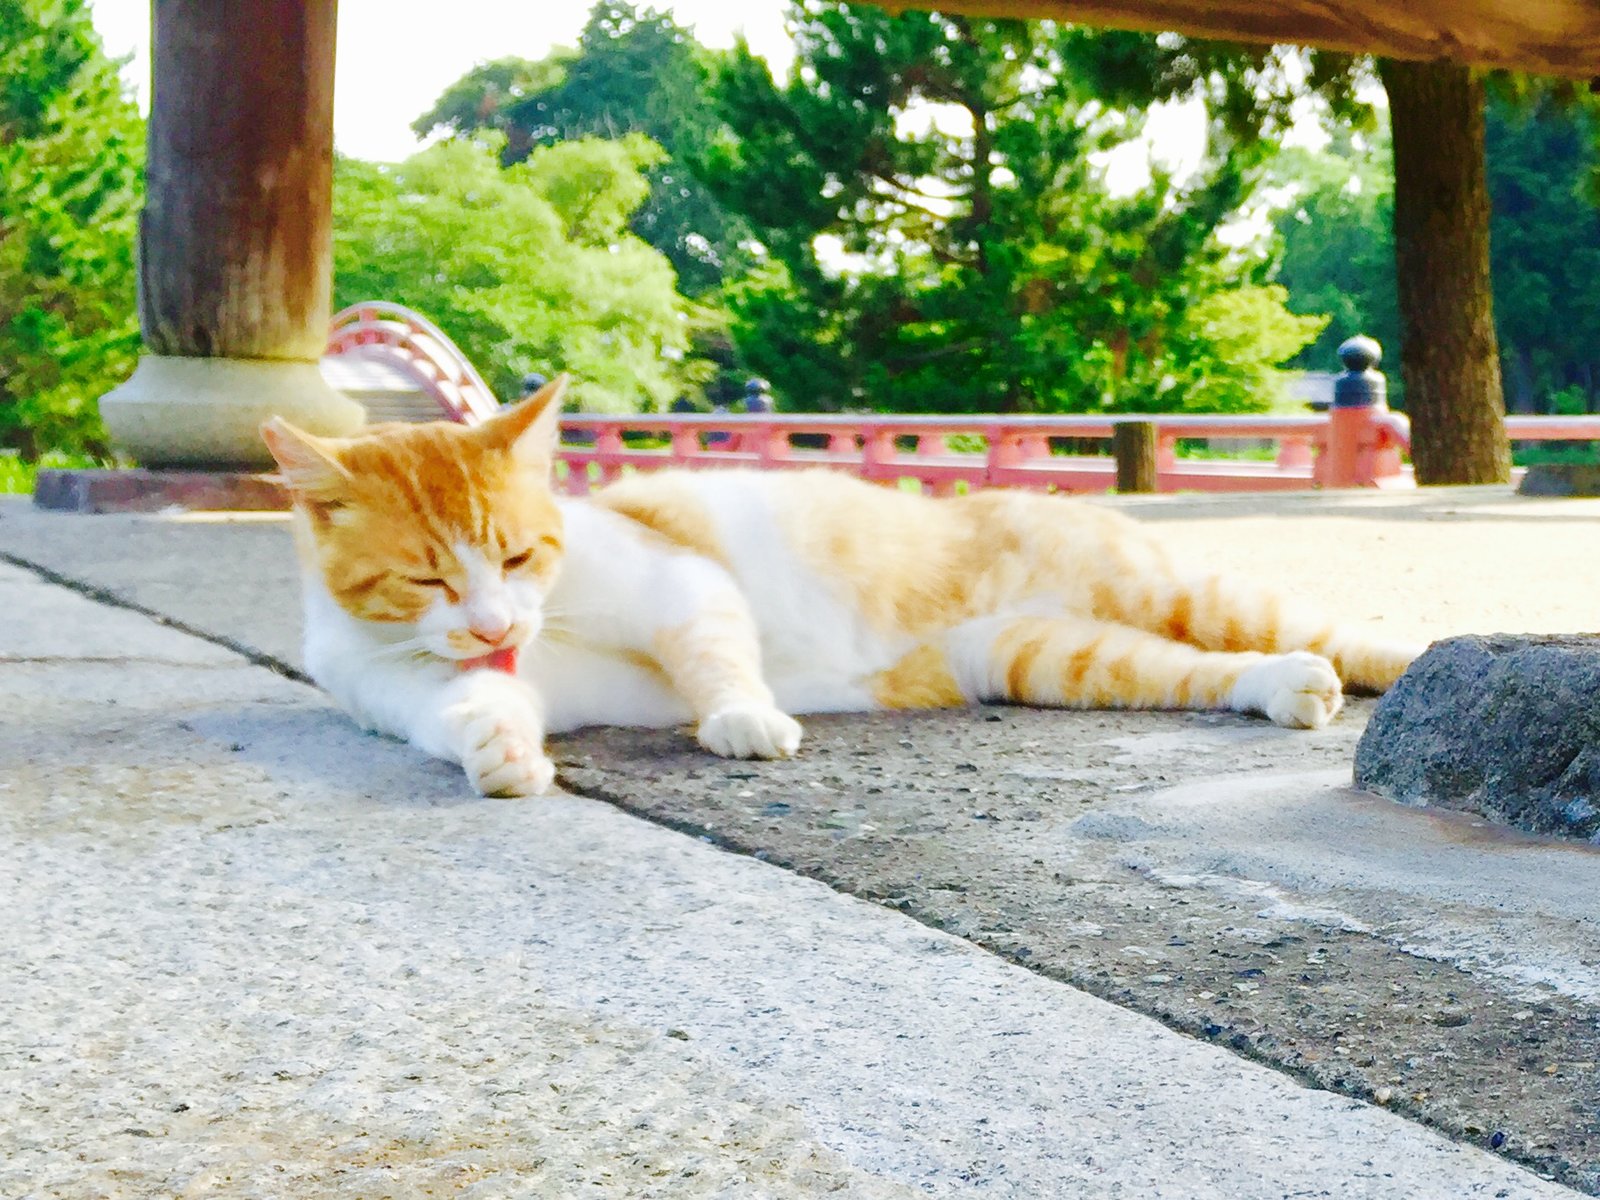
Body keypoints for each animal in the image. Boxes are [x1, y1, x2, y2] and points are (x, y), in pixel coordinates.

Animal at [265, 380, 1427, 800]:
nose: (498, 622)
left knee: (1338, 634)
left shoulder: (679, 582)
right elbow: (470, 711)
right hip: (1052, 656)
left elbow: (715, 658)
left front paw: (742, 721)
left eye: (517, 557)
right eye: (426, 577)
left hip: (1174, 589)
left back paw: (1415, 664)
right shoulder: (419, 687)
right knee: (1203, 671)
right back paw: (1281, 688)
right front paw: (502, 754)